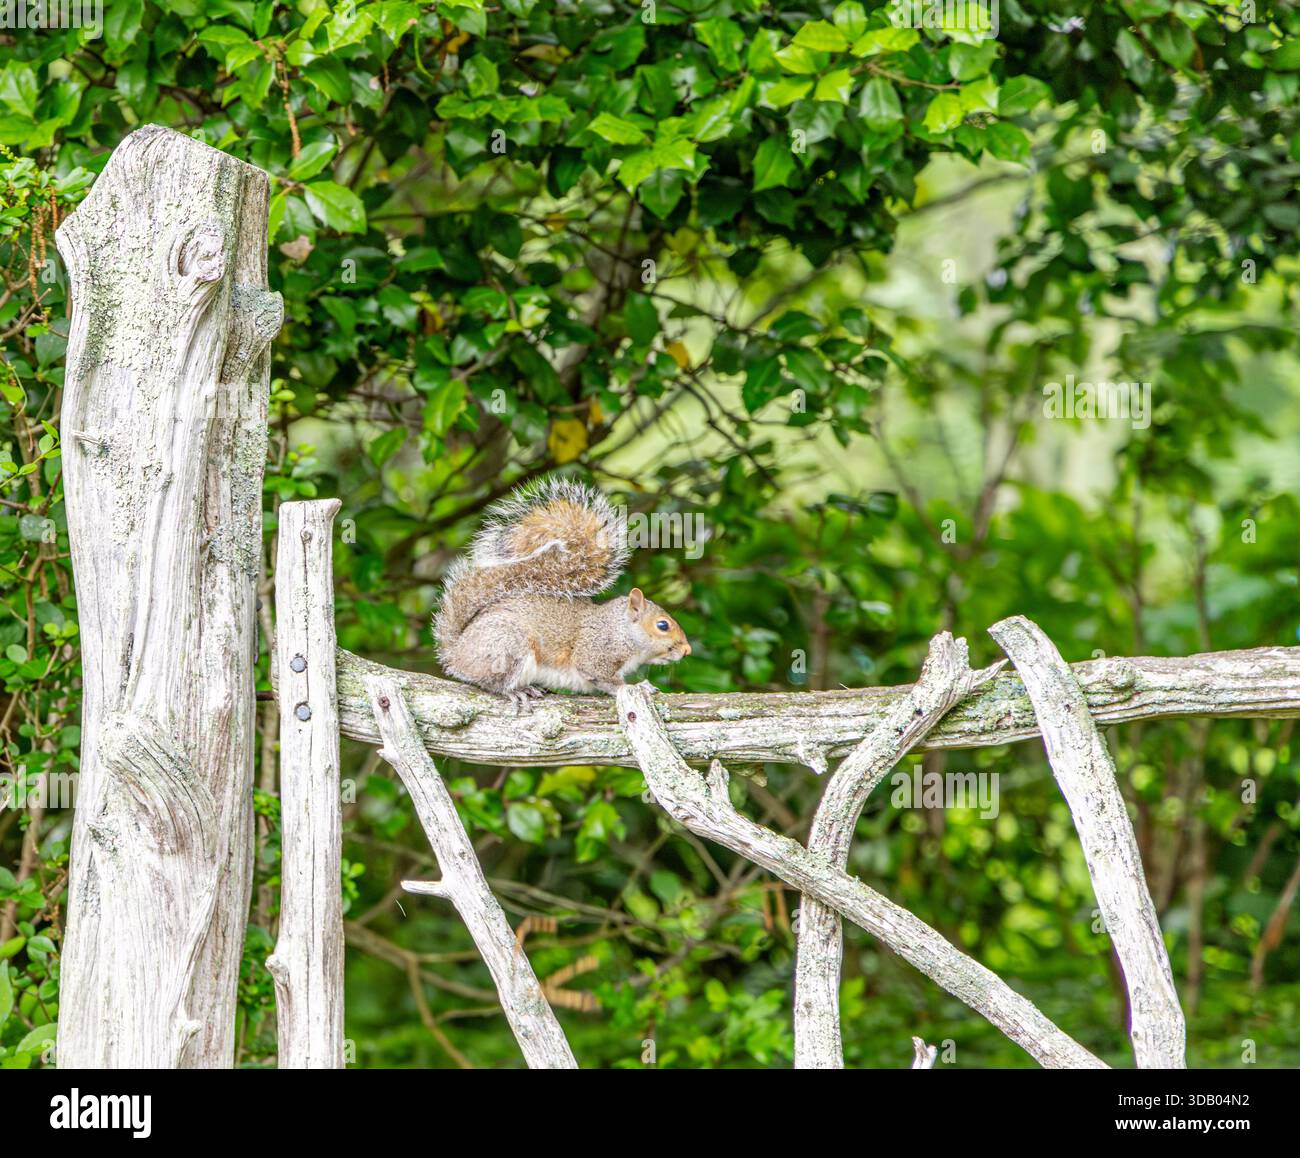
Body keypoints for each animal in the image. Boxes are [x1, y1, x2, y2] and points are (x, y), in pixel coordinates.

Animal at [434, 478, 692, 709]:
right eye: (662, 625)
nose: (687, 650)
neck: (620, 629)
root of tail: (456, 652)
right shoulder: (595, 653)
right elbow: (608, 681)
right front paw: (637, 686)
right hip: (507, 646)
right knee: (493, 683)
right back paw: (516, 691)